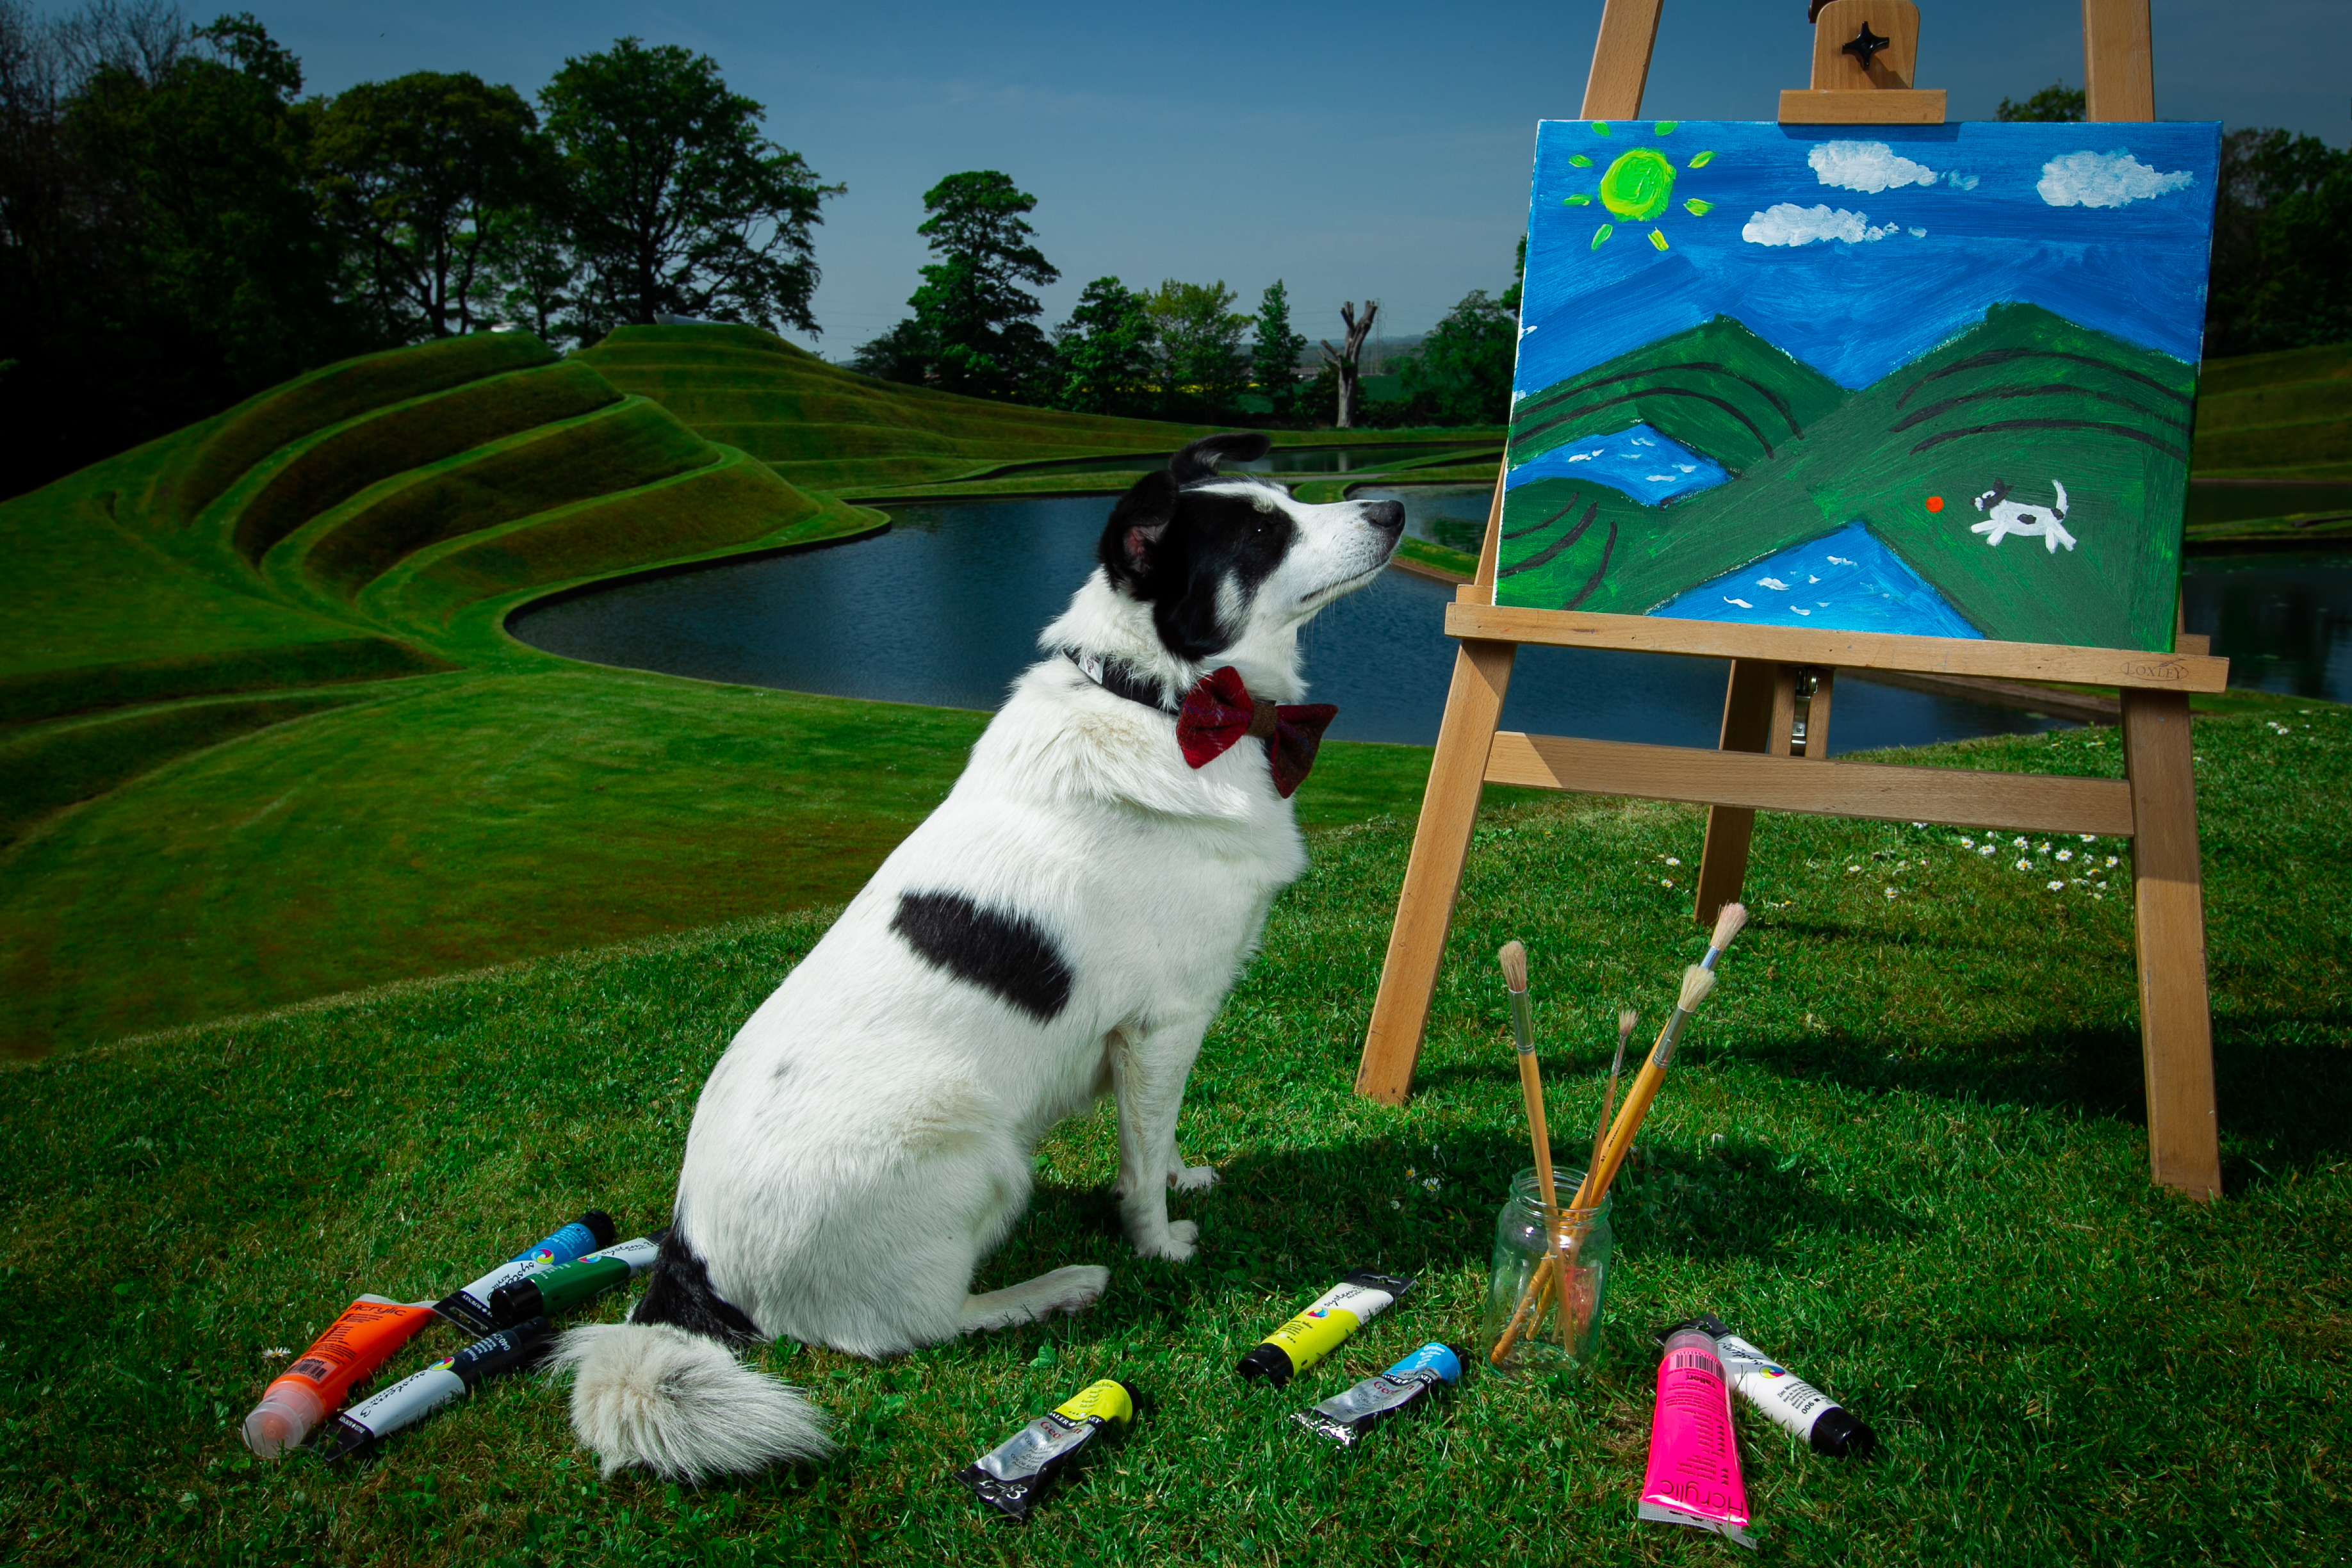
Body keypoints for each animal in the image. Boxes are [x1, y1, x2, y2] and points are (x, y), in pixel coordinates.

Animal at [555, 432, 1392, 1485]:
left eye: (1283, 497)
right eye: (1260, 532)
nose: (1396, 509)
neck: (1162, 700)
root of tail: (689, 1260)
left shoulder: (1160, 1039)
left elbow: (1158, 1139)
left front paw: (1182, 1179)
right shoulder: (1161, 1023)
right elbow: (1141, 1153)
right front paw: (1159, 1239)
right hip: (976, 1152)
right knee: (911, 1328)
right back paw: (1054, 1285)